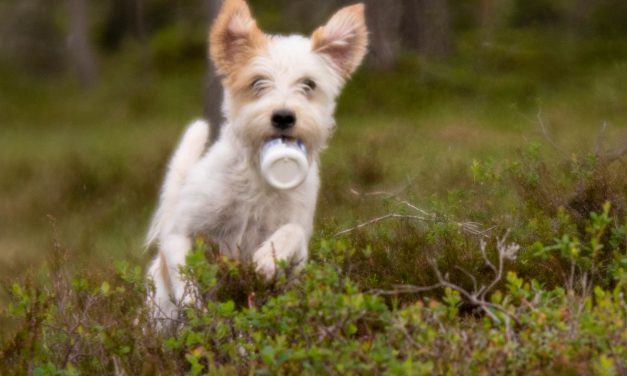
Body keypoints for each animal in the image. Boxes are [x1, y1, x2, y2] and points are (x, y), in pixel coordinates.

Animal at [145, 0, 370, 320]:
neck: (258, 178)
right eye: (258, 82)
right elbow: (184, 272)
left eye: (309, 85)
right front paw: (193, 304)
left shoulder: (298, 246)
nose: (284, 117)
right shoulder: (179, 231)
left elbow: (292, 232)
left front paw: (267, 258)